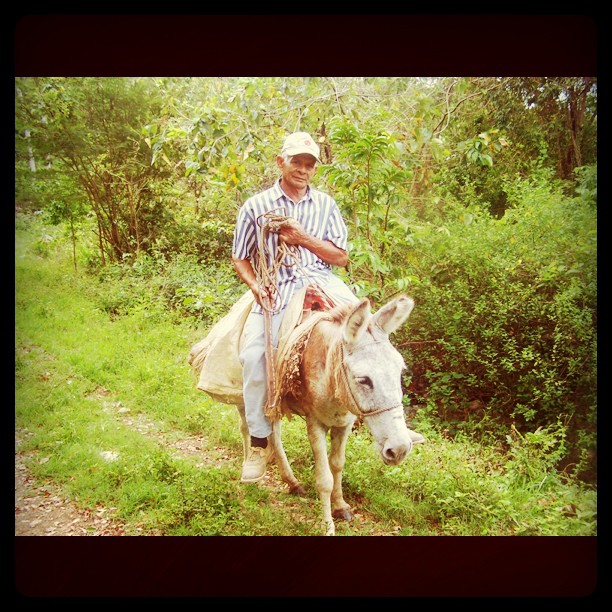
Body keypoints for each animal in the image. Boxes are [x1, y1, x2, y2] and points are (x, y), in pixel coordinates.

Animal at [236, 293, 417, 536]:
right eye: (363, 380)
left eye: (400, 371)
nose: (399, 450)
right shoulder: (315, 423)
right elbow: (324, 479)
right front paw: (328, 525)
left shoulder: (344, 423)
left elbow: (338, 465)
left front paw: (340, 507)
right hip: (242, 390)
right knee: (246, 427)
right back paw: (251, 468)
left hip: (273, 402)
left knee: (274, 434)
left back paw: (292, 482)